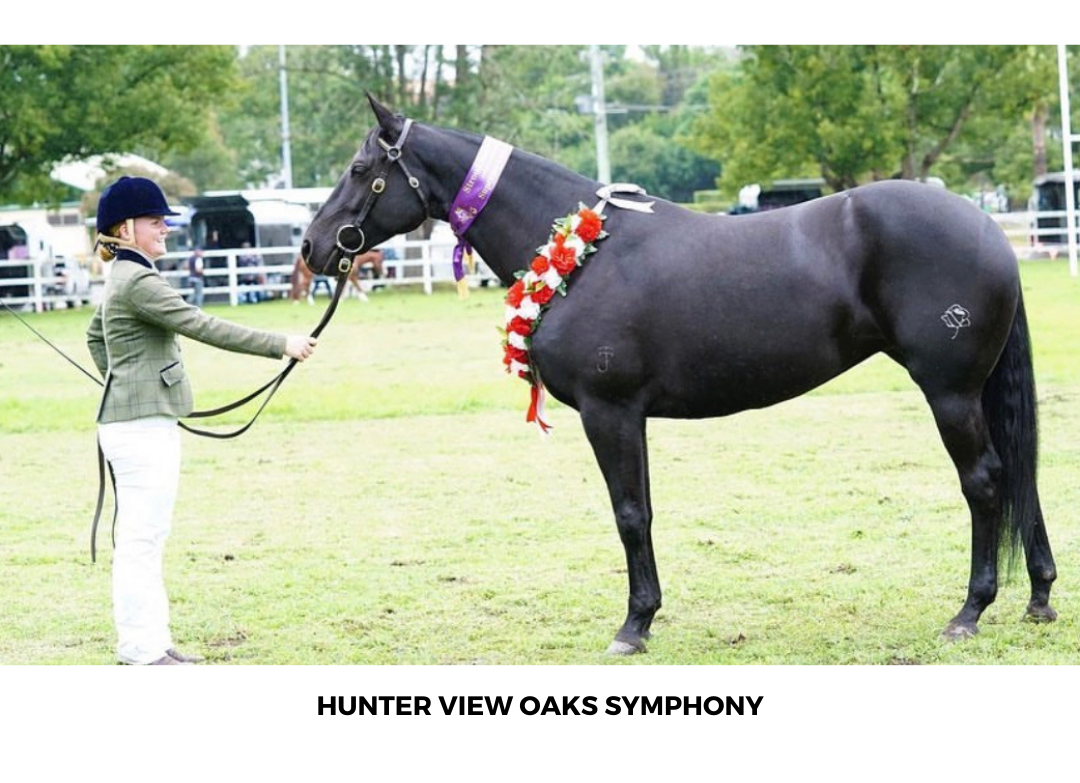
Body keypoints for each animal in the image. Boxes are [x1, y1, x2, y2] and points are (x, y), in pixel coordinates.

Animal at [301, 95, 1058, 655]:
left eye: (361, 167)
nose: (313, 246)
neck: (583, 253)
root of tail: (988, 230)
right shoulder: (624, 416)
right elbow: (640, 510)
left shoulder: (610, 412)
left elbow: (631, 513)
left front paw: (634, 625)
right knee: (1018, 474)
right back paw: (1040, 596)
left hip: (949, 392)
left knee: (985, 482)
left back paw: (970, 610)